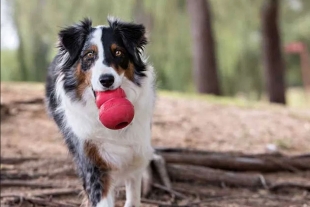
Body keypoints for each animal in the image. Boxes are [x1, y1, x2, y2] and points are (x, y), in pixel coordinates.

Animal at [44, 17, 156, 206]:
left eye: (118, 52)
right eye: (89, 55)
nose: (106, 80)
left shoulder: (136, 155)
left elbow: (133, 196)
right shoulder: (93, 164)